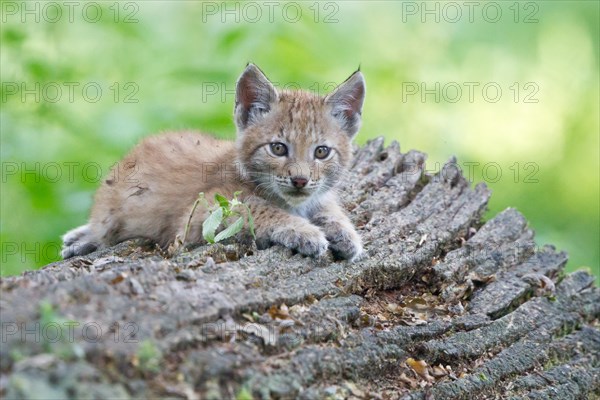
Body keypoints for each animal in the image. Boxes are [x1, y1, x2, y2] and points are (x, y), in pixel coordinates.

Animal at [64, 64, 366, 260]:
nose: (300, 180)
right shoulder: (197, 218)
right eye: (278, 148)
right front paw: (306, 232)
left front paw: (345, 233)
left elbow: (328, 206)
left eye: (321, 152)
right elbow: (258, 209)